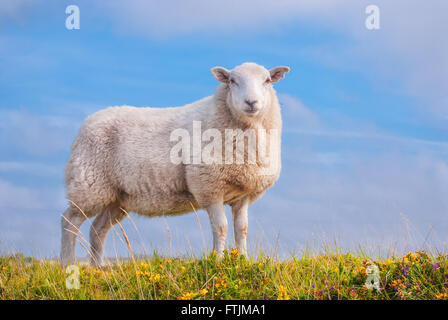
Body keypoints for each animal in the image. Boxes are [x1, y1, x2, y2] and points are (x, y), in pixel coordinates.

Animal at [60, 62, 290, 264]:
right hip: (89, 184)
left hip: (117, 197)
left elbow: (241, 228)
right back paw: (67, 264)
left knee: (97, 229)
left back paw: (98, 268)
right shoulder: (209, 187)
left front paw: (243, 260)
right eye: (232, 81)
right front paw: (218, 261)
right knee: (70, 221)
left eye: (267, 80)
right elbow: (221, 227)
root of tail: (88, 122)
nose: (251, 103)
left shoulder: (242, 194)